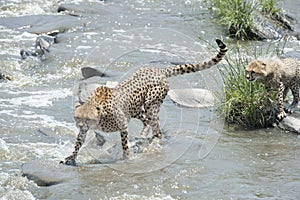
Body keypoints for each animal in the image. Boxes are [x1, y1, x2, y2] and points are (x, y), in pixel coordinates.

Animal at [61, 39, 227, 166]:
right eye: (78, 118)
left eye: (87, 119)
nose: (80, 125)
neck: (100, 114)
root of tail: (158, 70)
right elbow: (78, 143)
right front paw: (71, 158)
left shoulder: (122, 125)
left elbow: (124, 144)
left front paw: (127, 157)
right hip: (135, 108)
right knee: (147, 121)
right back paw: (144, 135)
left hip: (150, 103)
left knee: (157, 129)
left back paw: (152, 141)